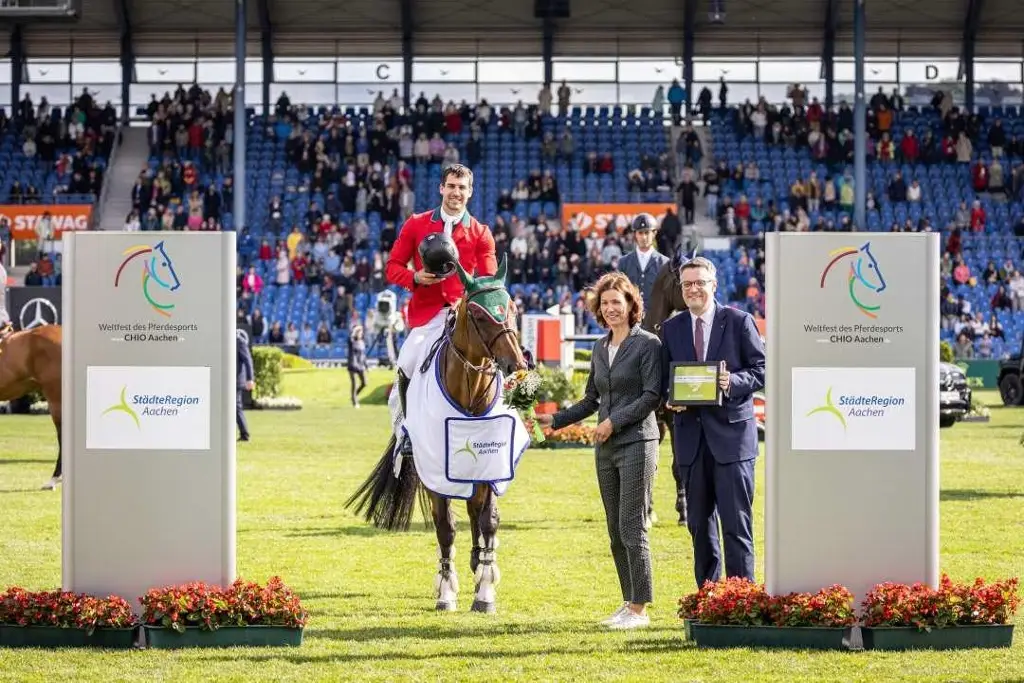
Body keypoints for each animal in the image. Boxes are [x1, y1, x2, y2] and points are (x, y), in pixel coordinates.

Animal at [350, 255, 532, 614]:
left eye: (512, 308)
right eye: (478, 314)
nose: (516, 364)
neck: (470, 391)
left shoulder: (492, 464)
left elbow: (488, 520)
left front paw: (485, 591)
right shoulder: (436, 472)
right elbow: (445, 528)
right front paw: (447, 591)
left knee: (476, 513)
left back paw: (479, 565)